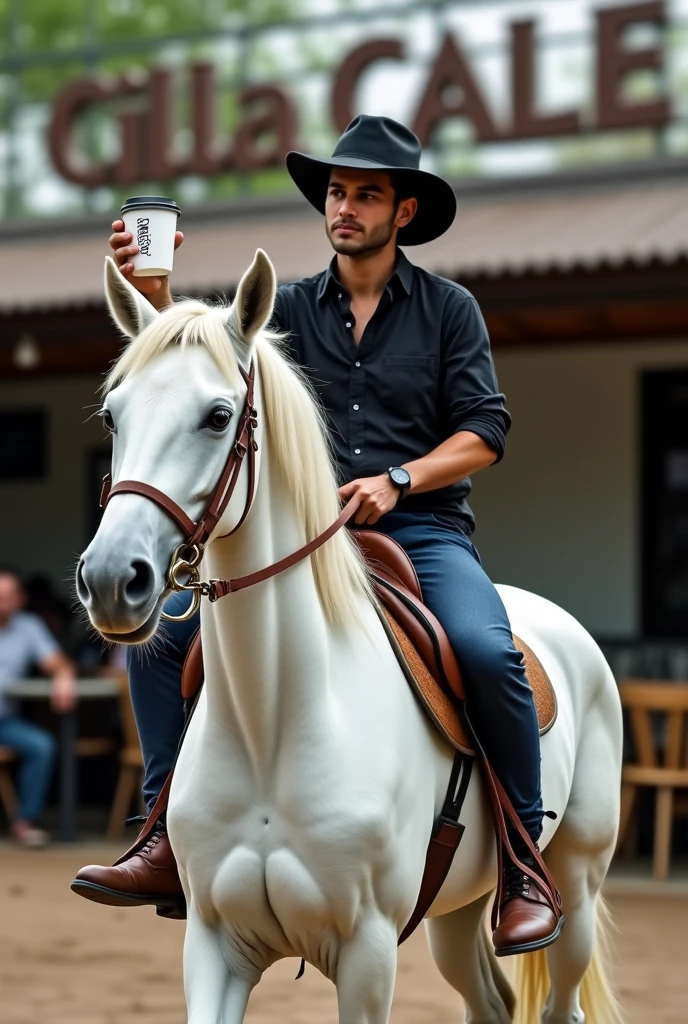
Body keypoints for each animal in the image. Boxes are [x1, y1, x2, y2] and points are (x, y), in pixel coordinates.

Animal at [77, 249, 626, 1024]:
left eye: (218, 417)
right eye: (113, 415)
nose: (109, 578)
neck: (275, 719)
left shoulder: (367, 954)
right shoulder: (213, 946)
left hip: (575, 890)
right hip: (458, 913)